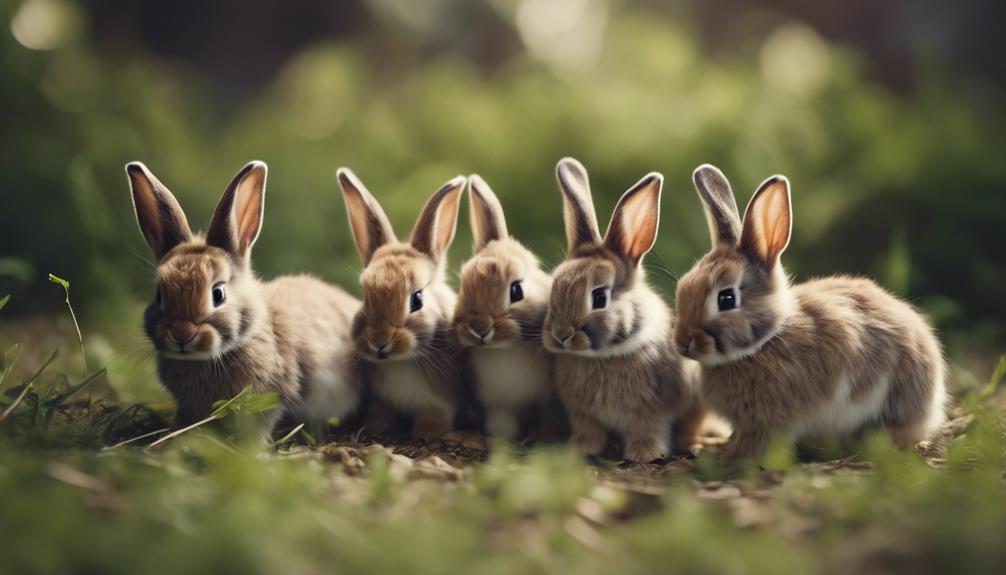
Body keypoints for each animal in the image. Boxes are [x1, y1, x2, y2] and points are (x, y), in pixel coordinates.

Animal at [336, 167, 466, 440]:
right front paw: (373, 428)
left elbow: (434, 414)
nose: (379, 342)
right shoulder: (382, 400)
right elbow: (381, 413)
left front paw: (428, 433)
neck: (402, 361)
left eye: (417, 299)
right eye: (365, 296)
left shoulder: (439, 400)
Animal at [452, 174, 563, 441]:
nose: (479, 328)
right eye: (463, 286)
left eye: (516, 291)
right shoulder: (498, 405)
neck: (504, 349)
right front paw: (502, 439)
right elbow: (501, 423)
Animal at [542, 158, 704, 463]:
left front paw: (644, 454)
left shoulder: (651, 411)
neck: (604, 355)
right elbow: (589, 431)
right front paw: (580, 449)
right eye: (554, 286)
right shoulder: (583, 415)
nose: (560, 335)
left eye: (599, 297)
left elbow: (648, 428)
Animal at [674, 164, 948, 462]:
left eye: (726, 299)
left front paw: (728, 457)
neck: (765, 343)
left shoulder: (768, 420)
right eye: (682, 286)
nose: (682, 343)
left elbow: (756, 442)